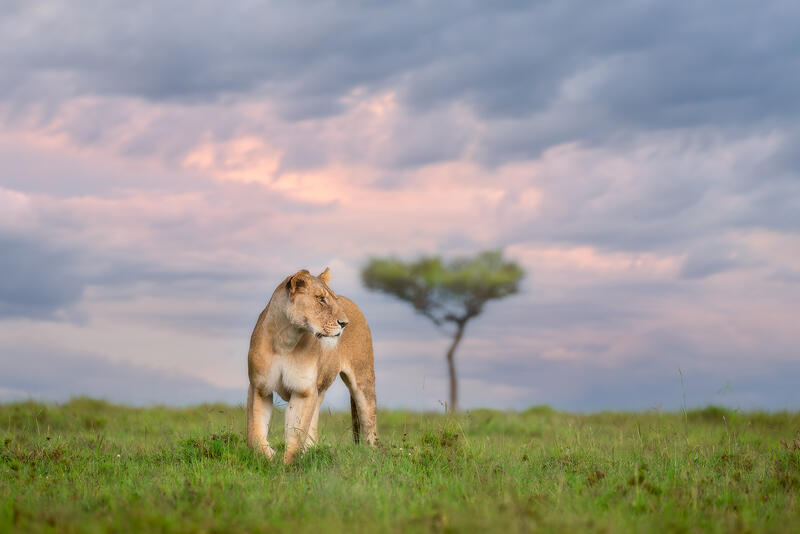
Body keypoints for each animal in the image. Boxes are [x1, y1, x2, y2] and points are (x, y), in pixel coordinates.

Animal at [246, 267, 378, 463]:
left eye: (334, 299)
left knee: (369, 423)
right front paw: (269, 455)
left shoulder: (303, 391)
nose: (344, 323)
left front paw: (286, 465)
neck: (284, 341)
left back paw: (372, 458)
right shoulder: (259, 387)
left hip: (363, 381)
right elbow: (254, 434)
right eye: (321, 299)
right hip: (319, 390)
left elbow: (295, 435)